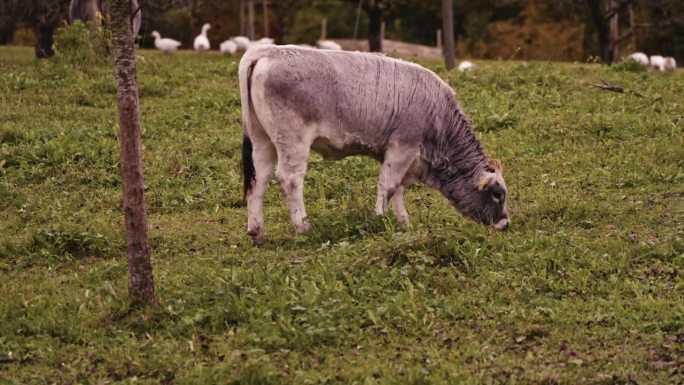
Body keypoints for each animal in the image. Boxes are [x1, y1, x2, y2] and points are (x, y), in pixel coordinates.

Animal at [240, 44, 508, 243]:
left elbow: (397, 190)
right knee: (290, 179)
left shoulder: (400, 158)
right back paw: (304, 228)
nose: (505, 224)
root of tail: (267, 51)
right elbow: (387, 187)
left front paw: (404, 224)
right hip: (292, 142)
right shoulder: (402, 148)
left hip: (262, 141)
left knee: (258, 181)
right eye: (498, 194)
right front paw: (380, 220)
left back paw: (256, 232)